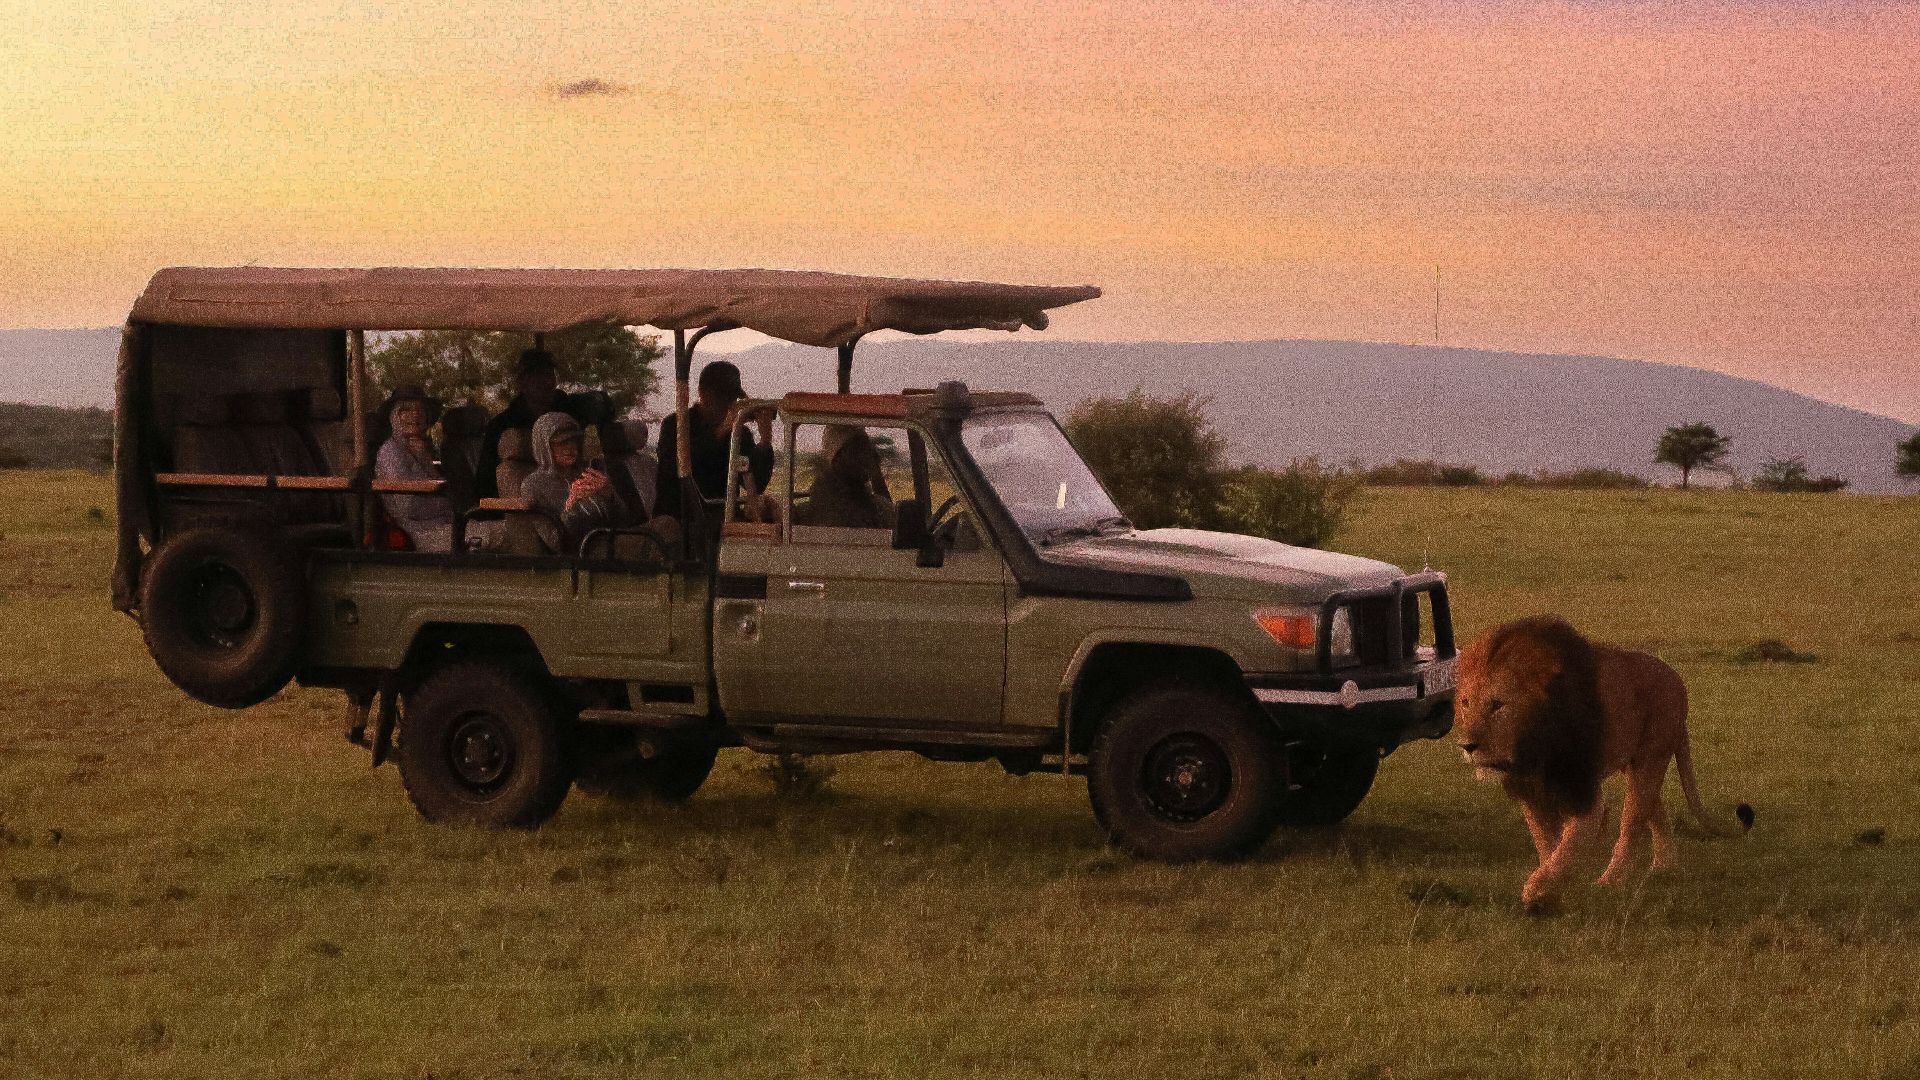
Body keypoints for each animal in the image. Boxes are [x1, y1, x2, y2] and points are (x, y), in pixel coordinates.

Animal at [1453, 616, 1751, 907]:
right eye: (1466, 703)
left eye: (1497, 705)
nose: (1467, 746)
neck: (1530, 748)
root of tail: (1675, 677)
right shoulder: (1530, 793)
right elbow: (1548, 842)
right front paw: (1554, 889)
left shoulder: (1583, 790)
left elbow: (1571, 841)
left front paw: (1538, 890)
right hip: (1635, 763)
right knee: (1654, 808)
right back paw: (1664, 867)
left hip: (1652, 752)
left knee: (1633, 820)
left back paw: (1612, 882)